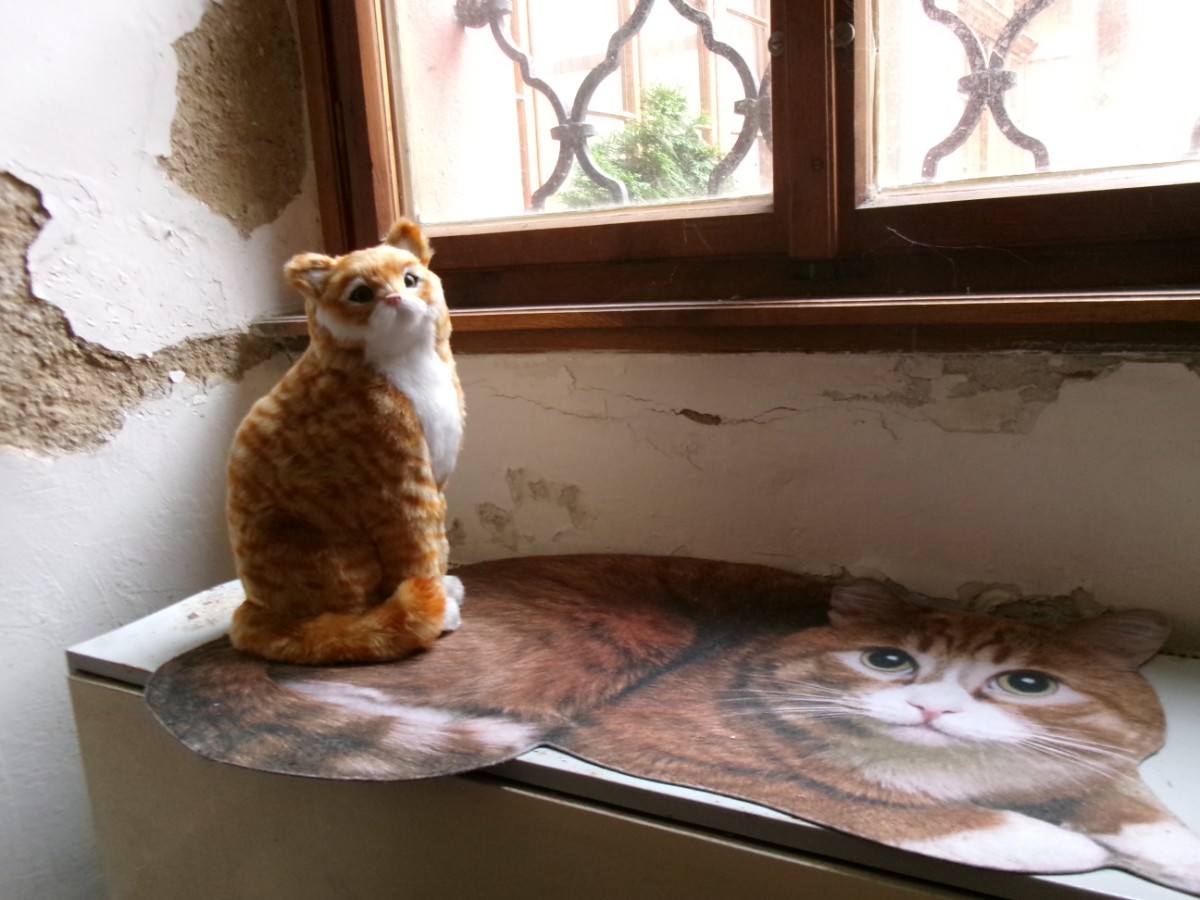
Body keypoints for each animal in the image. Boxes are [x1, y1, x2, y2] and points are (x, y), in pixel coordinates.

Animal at [147, 554, 1200, 895]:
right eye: (889, 661)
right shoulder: (674, 744)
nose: (932, 707)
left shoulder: (1103, 769)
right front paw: (1038, 842)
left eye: (1028, 684)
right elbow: (860, 797)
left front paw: (1162, 849)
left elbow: (1135, 802)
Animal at [224, 220, 465, 665]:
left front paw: (446, 588)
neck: (412, 365)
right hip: (334, 552)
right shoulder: (404, 489)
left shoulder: (436, 480)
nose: (394, 298)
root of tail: (257, 610)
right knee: (343, 625)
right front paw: (441, 608)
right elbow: (420, 553)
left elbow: (438, 548)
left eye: (410, 280)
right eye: (362, 294)